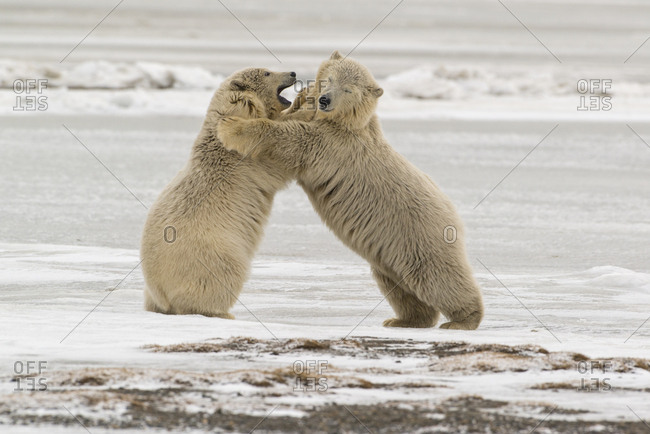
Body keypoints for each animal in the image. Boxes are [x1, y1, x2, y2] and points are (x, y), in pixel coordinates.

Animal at [141, 68, 297, 318]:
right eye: (267, 72)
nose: (292, 73)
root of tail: (160, 291)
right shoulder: (247, 158)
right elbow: (277, 159)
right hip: (214, 254)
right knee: (222, 277)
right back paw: (223, 312)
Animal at [216, 52, 484, 330]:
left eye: (347, 89)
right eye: (330, 79)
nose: (325, 99)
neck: (349, 122)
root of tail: (452, 212)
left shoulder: (331, 145)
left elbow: (288, 139)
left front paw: (231, 126)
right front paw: (303, 97)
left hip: (419, 235)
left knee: (438, 276)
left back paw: (462, 320)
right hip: (390, 250)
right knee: (397, 283)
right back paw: (404, 319)